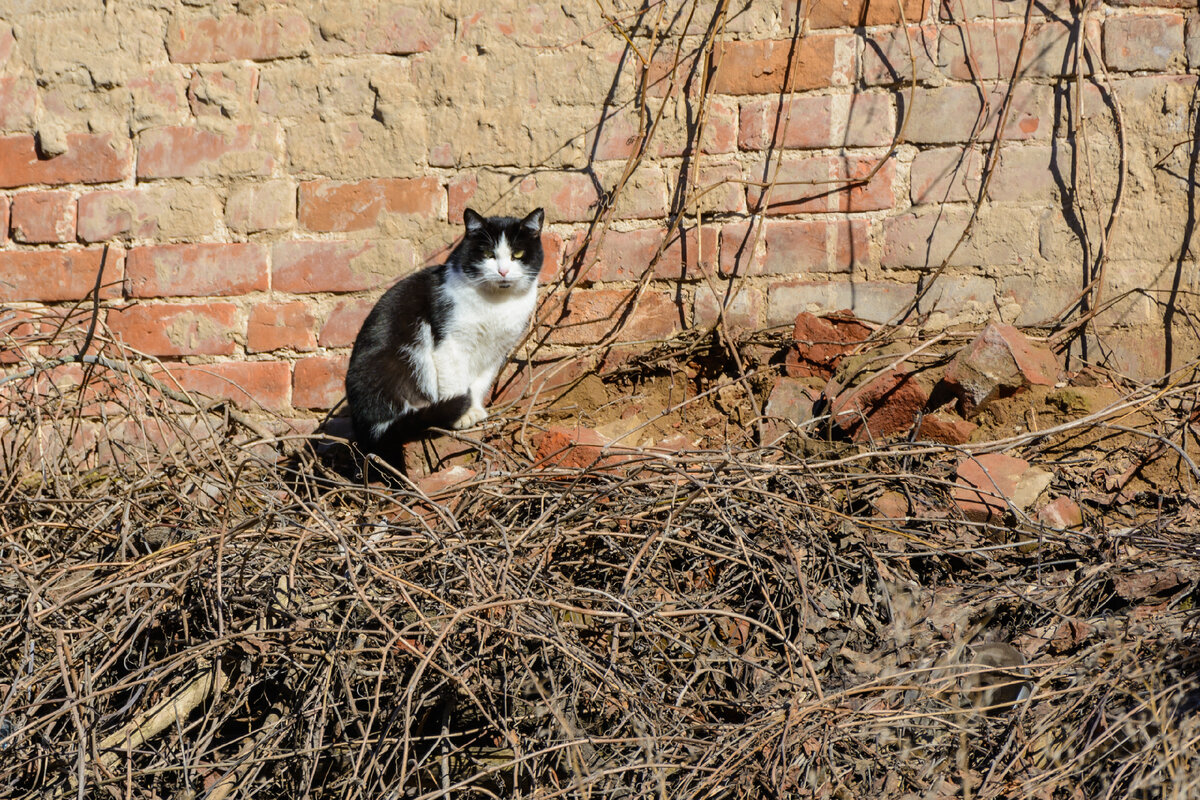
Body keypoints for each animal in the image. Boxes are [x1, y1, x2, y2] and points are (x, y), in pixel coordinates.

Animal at [345, 209, 547, 465]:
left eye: (518, 254)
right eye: (488, 254)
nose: (503, 271)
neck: (497, 304)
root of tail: (361, 427)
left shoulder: (496, 352)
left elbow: (480, 383)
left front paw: (475, 410)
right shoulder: (450, 345)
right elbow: (455, 381)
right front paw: (461, 415)